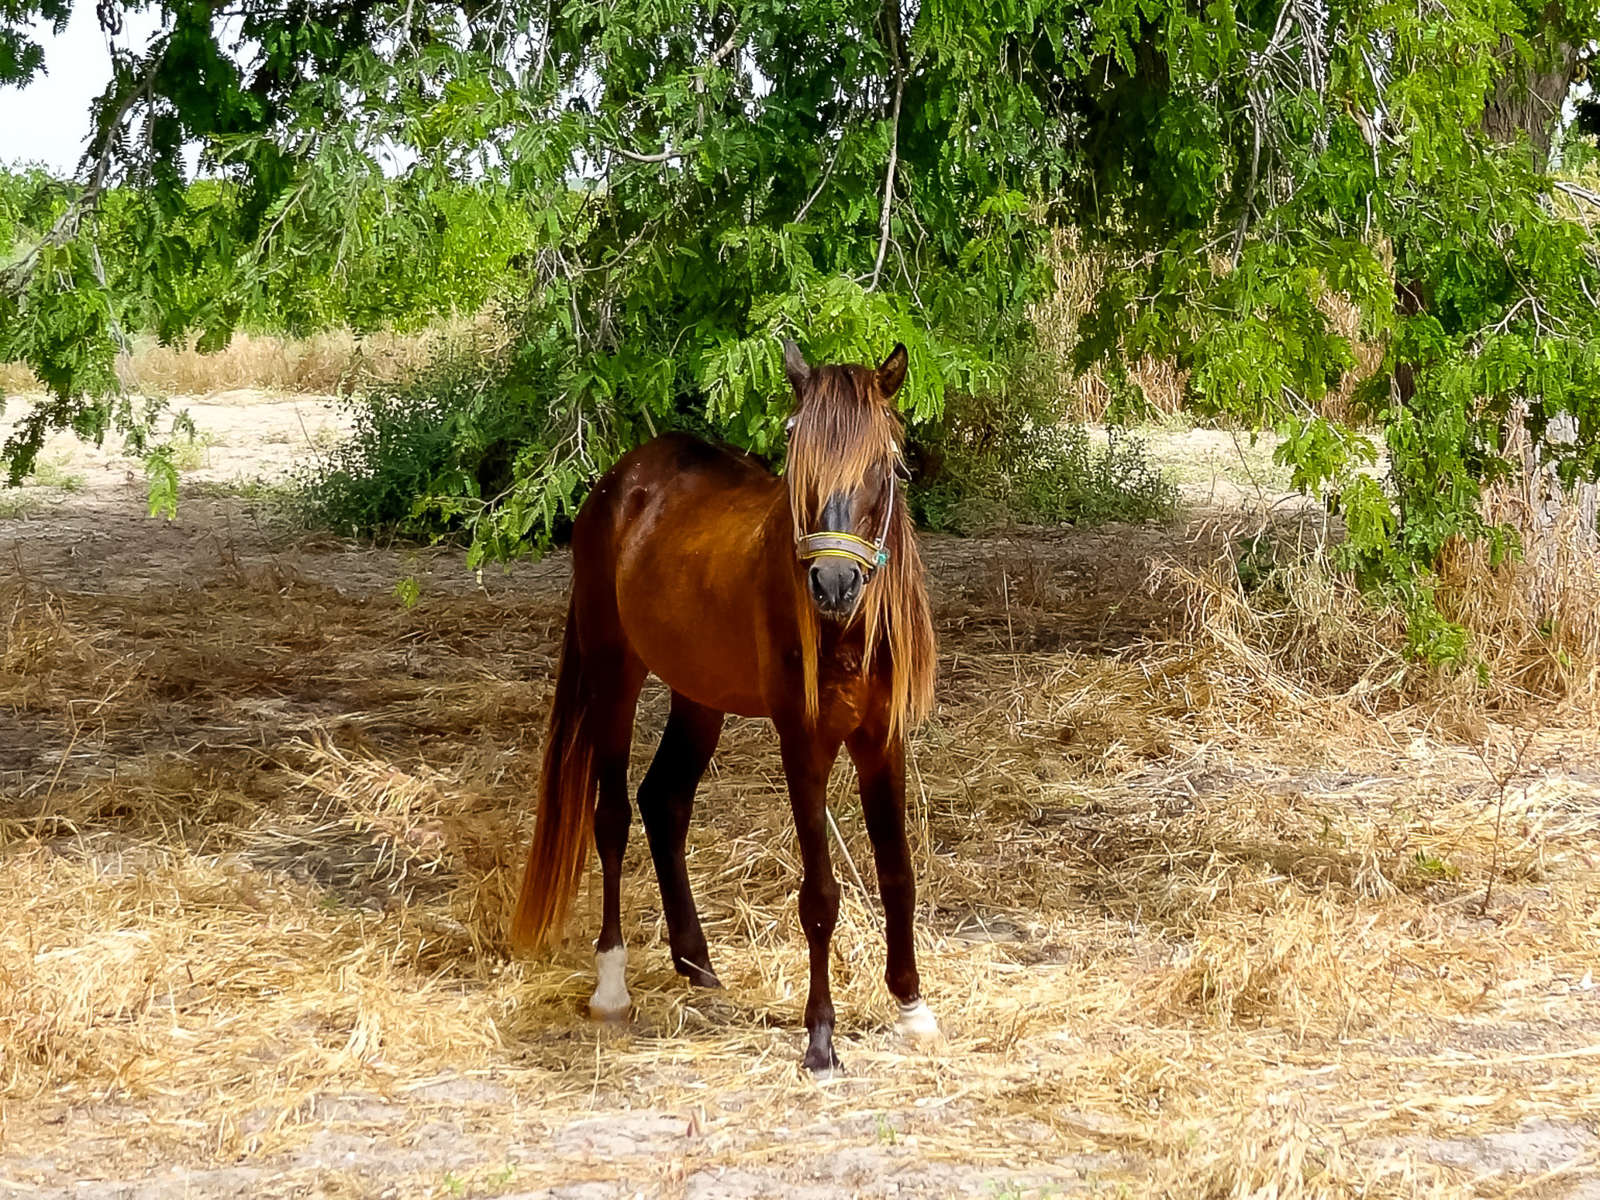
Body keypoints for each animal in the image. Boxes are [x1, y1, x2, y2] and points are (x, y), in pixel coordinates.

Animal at [508, 340, 939, 1074]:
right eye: (797, 459)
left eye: (885, 463)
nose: (832, 582)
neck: (848, 630)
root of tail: (622, 479)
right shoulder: (804, 742)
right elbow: (820, 895)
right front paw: (820, 1038)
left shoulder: (882, 738)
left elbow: (898, 873)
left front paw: (911, 1007)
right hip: (613, 674)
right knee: (613, 816)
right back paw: (613, 986)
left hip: (698, 697)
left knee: (664, 801)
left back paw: (696, 963)